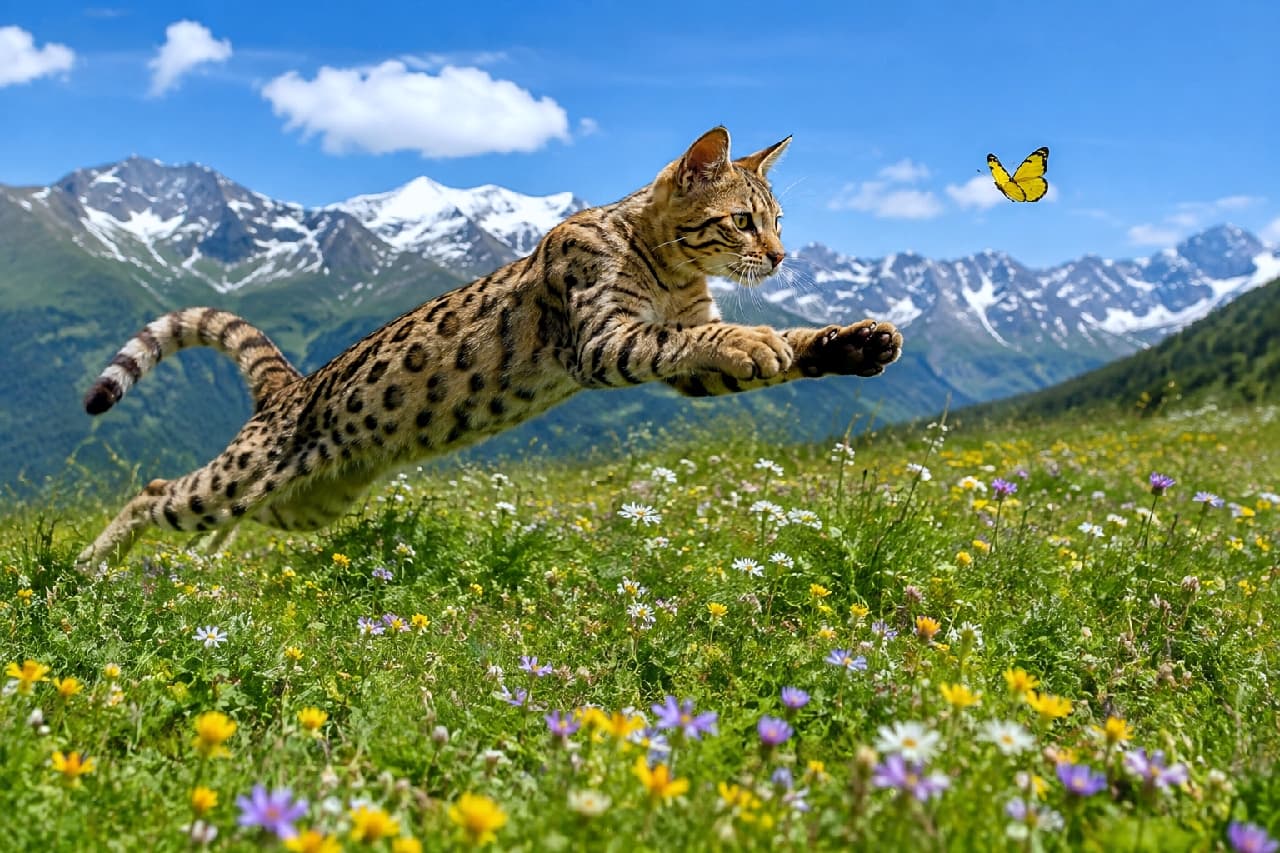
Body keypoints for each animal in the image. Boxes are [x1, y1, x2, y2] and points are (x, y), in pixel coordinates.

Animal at [75, 126, 903, 571]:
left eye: (779, 220)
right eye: (742, 220)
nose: (784, 258)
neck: (669, 268)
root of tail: (290, 384)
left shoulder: (678, 369)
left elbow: (770, 345)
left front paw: (854, 341)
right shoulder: (603, 340)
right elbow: (698, 332)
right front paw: (753, 335)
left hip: (299, 502)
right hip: (242, 478)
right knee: (155, 490)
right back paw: (89, 566)